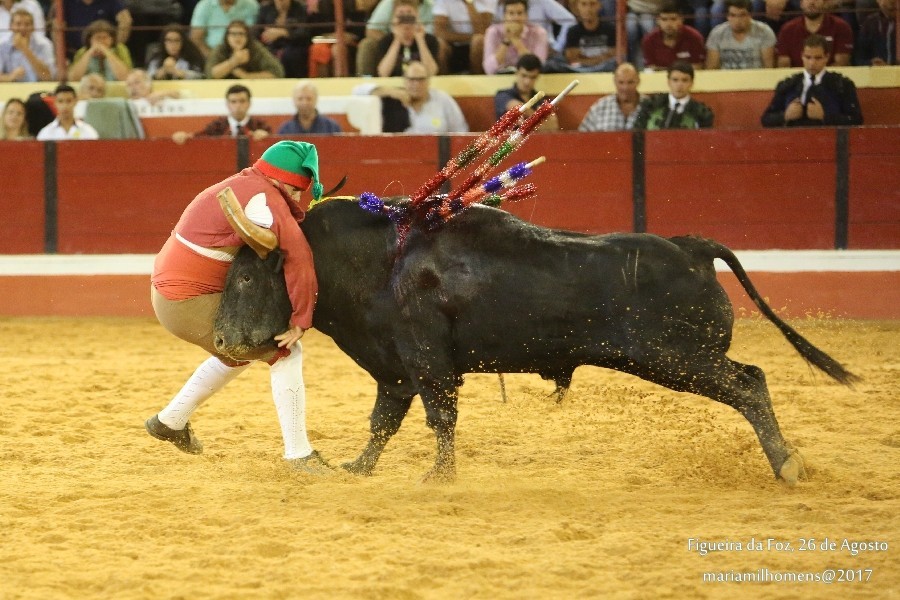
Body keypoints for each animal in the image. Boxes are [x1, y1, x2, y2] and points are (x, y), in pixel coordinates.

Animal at [212, 197, 858, 486]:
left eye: (243, 277)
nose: (220, 336)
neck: (375, 262)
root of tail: (691, 246)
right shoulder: (394, 368)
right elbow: (382, 423)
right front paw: (356, 468)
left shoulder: (427, 363)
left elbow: (439, 417)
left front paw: (438, 478)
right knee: (750, 380)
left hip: (676, 358)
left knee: (749, 382)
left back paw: (787, 465)